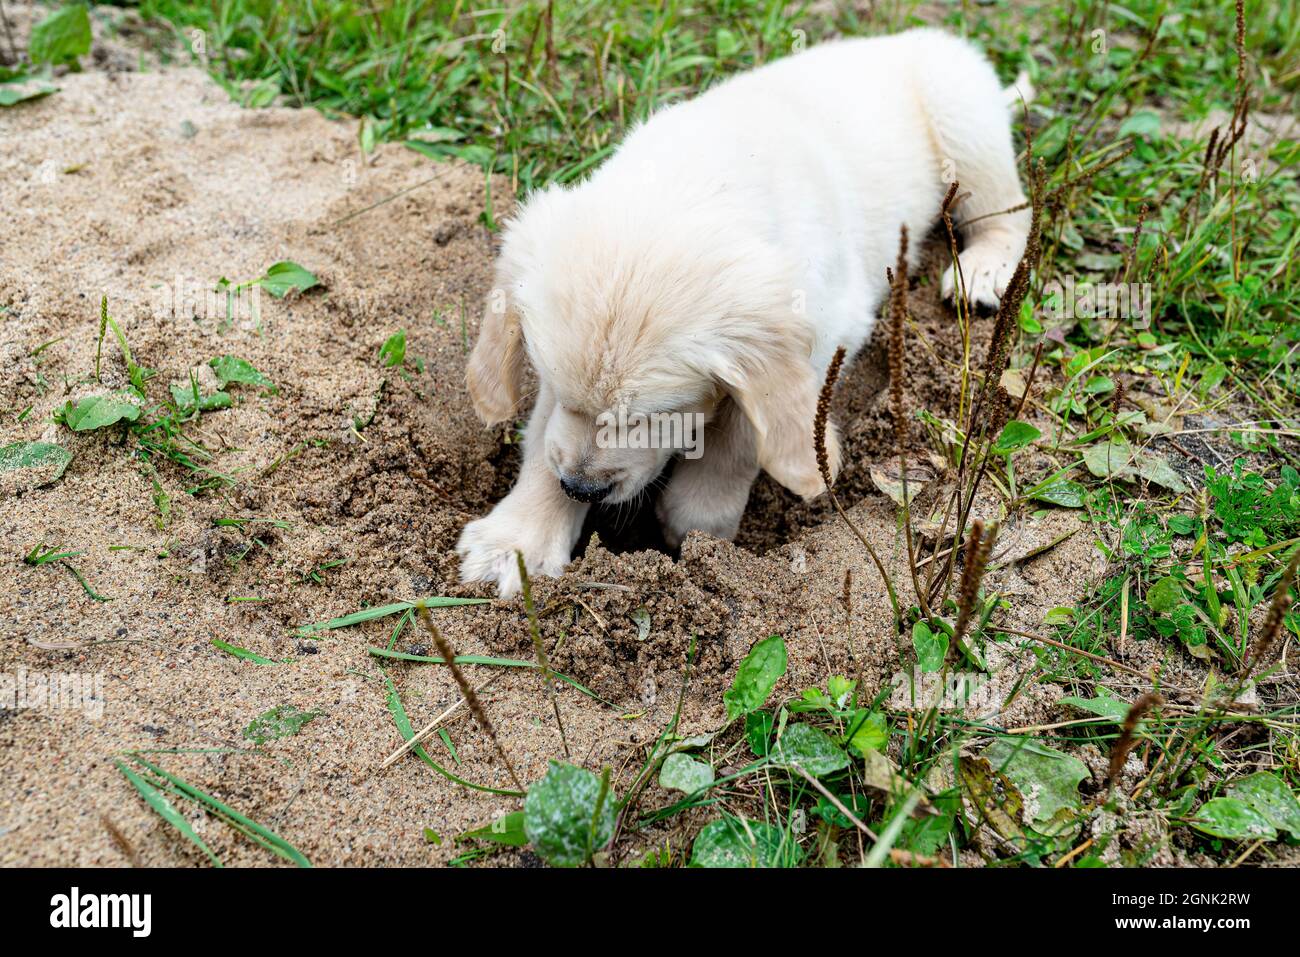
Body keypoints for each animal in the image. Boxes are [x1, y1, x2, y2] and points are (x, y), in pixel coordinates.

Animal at [452, 29, 1029, 595]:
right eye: (551, 385)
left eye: (657, 416)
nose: (581, 487)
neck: (695, 184)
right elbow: (542, 440)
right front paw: (517, 542)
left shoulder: (829, 324)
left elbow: (747, 430)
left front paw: (699, 517)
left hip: (962, 118)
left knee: (1009, 211)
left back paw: (984, 270)